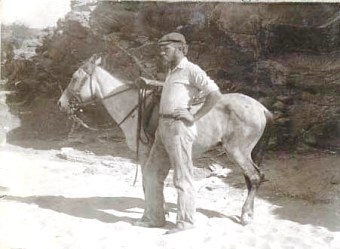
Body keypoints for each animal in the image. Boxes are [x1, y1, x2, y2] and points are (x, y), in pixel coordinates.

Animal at [57, 56, 274, 226]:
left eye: (75, 78)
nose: (61, 103)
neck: (136, 108)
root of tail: (262, 108)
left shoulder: (144, 152)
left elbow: (146, 182)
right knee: (252, 179)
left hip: (237, 151)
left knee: (255, 177)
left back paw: (246, 215)